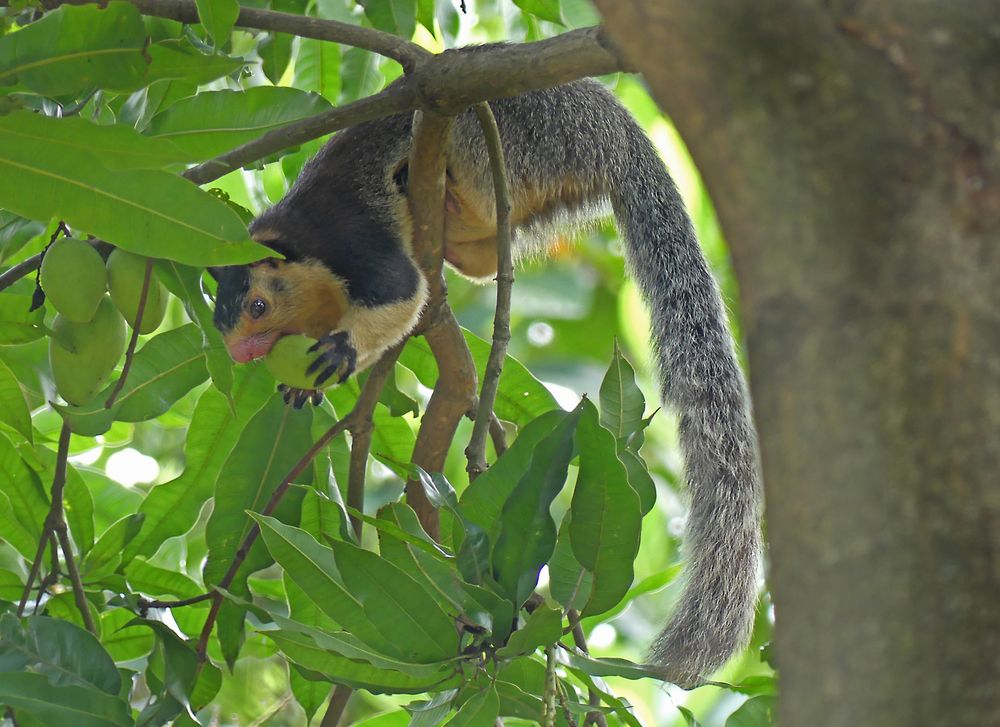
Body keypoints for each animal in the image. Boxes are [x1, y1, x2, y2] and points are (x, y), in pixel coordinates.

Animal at [209, 79, 756, 688]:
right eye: (220, 321)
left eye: (259, 306)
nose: (241, 352)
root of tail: (611, 125)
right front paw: (304, 388)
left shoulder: (352, 240)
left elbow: (402, 291)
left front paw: (342, 350)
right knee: (483, 253)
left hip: (513, 138)